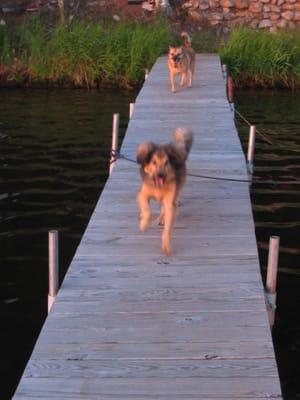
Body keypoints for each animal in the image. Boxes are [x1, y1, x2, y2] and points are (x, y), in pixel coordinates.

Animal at [135, 126, 193, 255]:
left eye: (166, 163)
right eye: (154, 162)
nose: (160, 175)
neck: (158, 186)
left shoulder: (169, 200)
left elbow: (167, 227)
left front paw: (166, 245)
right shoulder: (142, 194)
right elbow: (147, 209)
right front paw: (144, 224)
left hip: (176, 191)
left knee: (168, 206)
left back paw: (162, 218)